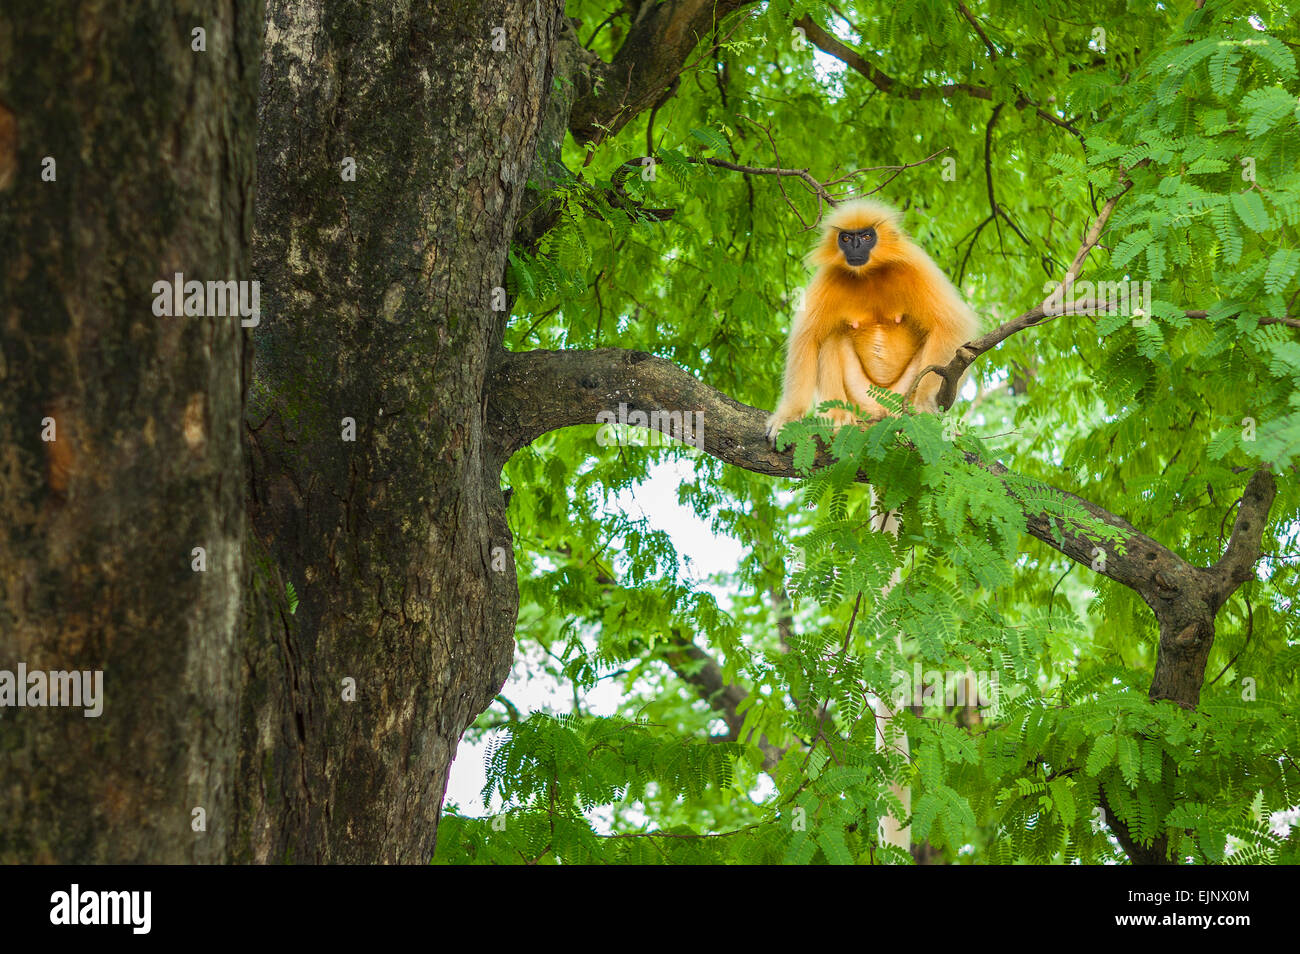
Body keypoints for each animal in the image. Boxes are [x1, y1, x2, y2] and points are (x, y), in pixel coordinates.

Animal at [759, 201, 977, 444]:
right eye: (845, 238)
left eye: (866, 236)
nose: (855, 247)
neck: (871, 273)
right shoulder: (829, 276)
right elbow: (807, 339)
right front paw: (788, 417)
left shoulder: (915, 265)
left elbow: (951, 325)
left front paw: (923, 404)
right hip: (860, 398)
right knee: (832, 337)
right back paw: (837, 415)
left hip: (900, 394)